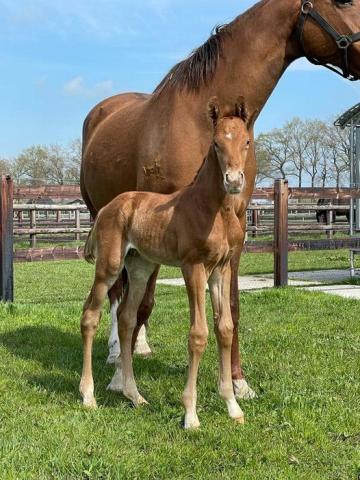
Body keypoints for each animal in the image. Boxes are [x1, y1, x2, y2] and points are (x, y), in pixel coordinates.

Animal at [79, 97, 253, 428]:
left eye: (247, 141)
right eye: (215, 143)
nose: (234, 181)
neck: (213, 209)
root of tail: (108, 207)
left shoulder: (221, 269)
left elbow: (224, 328)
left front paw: (233, 407)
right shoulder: (193, 267)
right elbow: (198, 334)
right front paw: (191, 415)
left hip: (140, 267)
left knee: (126, 318)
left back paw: (135, 395)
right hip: (109, 266)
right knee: (90, 315)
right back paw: (88, 396)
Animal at [81, 0, 360, 398]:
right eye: (342, 2)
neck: (198, 118)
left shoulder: (235, 226)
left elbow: (230, 306)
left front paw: (237, 381)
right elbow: (143, 303)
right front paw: (123, 378)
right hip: (108, 225)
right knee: (118, 292)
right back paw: (117, 353)